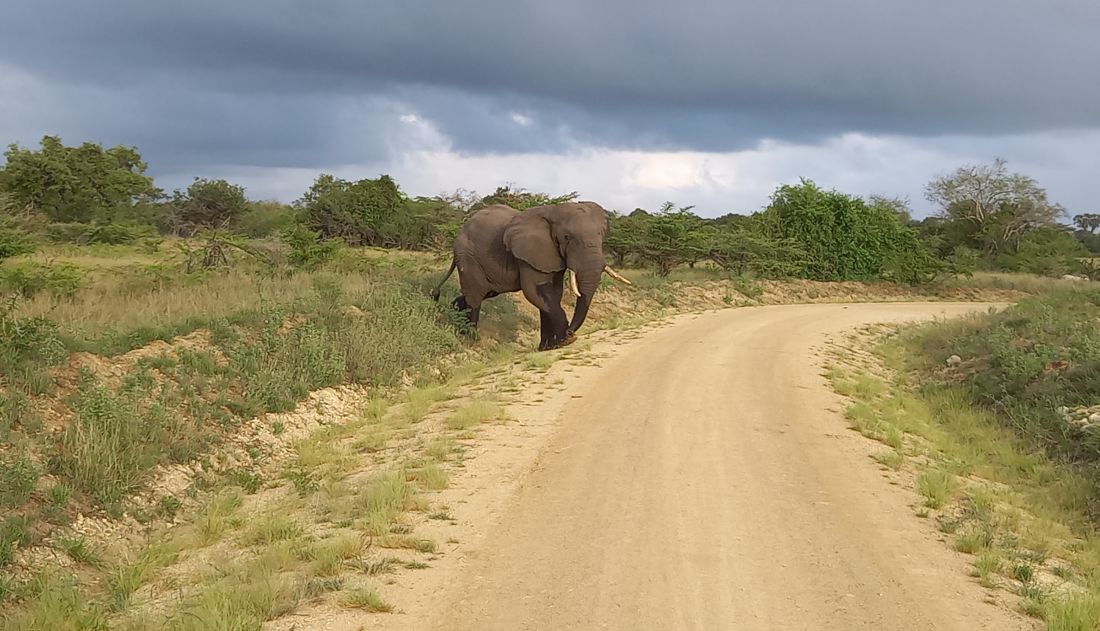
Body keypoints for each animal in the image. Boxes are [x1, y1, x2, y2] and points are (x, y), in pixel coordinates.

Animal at [433, 201, 633, 351]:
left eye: (601, 235)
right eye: (567, 237)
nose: (570, 332)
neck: (552, 212)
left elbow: (554, 294)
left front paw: (549, 346)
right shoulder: (528, 255)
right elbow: (535, 292)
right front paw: (565, 341)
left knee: (481, 293)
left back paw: (456, 315)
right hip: (468, 257)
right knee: (475, 296)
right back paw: (472, 341)